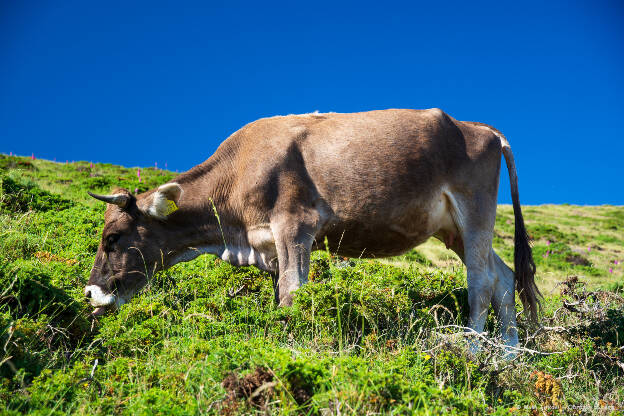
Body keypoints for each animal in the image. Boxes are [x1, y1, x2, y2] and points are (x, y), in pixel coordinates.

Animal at [85, 108, 540, 352]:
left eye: (113, 238)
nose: (90, 292)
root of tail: (480, 128)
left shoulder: (295, 226)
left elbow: (292, 292)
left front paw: (292, 348)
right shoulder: (268, 241)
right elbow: (280, 294)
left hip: (474, 211)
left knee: (480, 283)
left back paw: (472, 351)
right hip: (454, 229)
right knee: (504, 278)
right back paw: (508, 356)